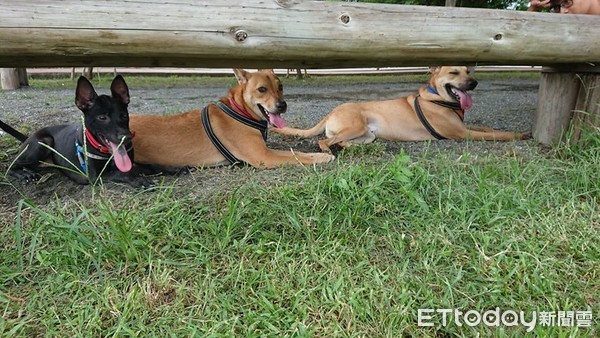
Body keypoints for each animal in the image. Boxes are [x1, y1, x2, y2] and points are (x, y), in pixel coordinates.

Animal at [0, 75, 150, 187]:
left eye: (124, 115)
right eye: (102, 117)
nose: (127, 137)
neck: (106, 153)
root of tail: (28, 137)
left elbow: (143, 167)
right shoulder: (94, 176)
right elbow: (121, 173)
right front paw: (139, 180)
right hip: (44, 142)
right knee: (11, 166)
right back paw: (24, 174)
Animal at [129, 69, 332, 169]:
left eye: (280, 86)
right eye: (262, 89)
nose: (282, 105)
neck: (240, 110)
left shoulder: (264, 151)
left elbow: (295, 152)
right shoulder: (263, 156)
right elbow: (295, 157)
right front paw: (321, 158)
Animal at [272, 66, 528, 153]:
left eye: (468, 71)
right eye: (454, 73)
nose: (474, 83)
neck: (437, 98)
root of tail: (332, 111)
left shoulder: (465, 126)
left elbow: (488, 128)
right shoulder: (462, 133)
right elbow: (496, 135)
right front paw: (518, 134)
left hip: (367, 134)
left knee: (343, 142)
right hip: (355, 126)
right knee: (324, 141)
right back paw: (328, 150)